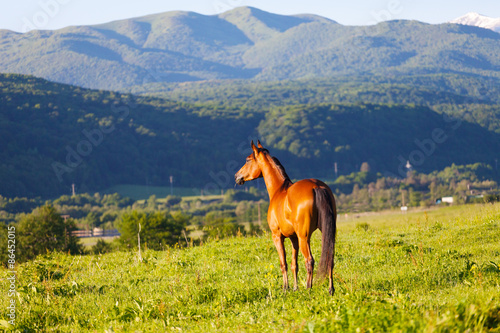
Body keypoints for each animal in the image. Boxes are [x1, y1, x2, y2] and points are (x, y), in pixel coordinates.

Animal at [233, 139, 336, 294]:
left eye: (248, 159)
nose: (237, 176)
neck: (279, 190)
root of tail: (316, 187)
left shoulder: (277, 236)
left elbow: (284, 263)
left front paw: (285, 288)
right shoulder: (293, 238)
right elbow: (294, 264)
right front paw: (294, 287)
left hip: (304, 237)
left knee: (309, 260)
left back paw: (308, 288)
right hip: (325, 232)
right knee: (330, 257)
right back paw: (331, 289)